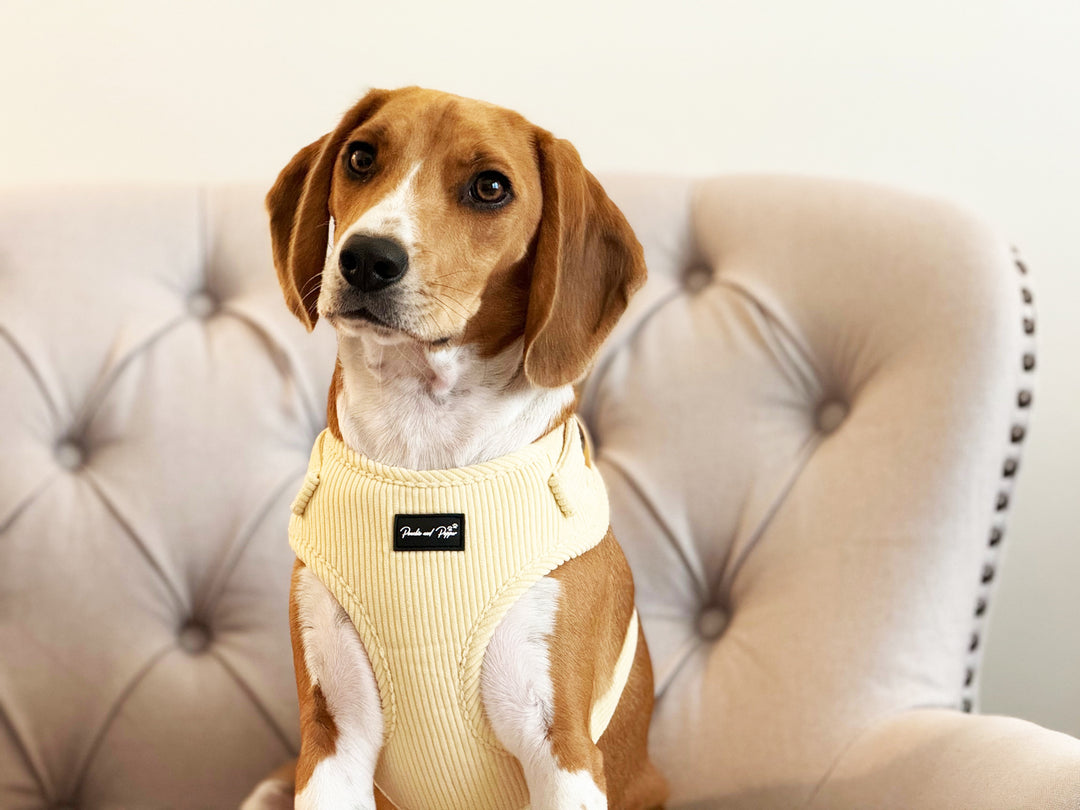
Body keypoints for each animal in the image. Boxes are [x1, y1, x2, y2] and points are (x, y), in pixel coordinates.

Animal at [245, 87, 665, 810]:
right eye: (361, 156)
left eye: (491, 187)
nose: (366, 257)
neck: (425, 449)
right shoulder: (332, 741)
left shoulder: (561, 750)